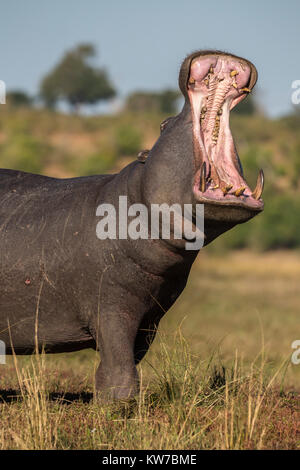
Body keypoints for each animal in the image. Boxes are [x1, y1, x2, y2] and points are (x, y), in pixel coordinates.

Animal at [0, 49, 262, 398]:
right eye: (163, 123)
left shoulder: (152, 314)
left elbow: (132, 354)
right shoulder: (111, 304)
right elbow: (118, 357)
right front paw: (116, 402)